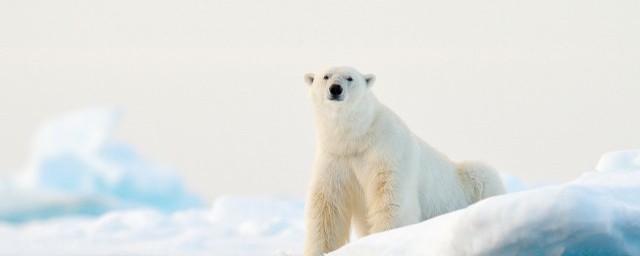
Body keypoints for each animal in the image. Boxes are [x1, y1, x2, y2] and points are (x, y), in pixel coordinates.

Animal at [300, 67, 504, 255]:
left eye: (350, 78)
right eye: (325, 76)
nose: (335, 88)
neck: (358, 138)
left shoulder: (387, 151)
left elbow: (391, 198)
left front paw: (385, 240)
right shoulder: (335, 159)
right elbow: (327, 206)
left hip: (470, 181)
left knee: (482, 175)